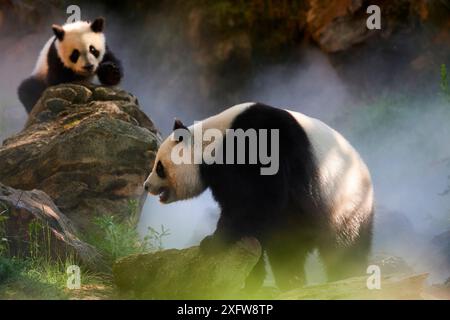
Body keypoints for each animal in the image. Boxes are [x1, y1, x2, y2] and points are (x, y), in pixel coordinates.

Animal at [144, 102, 372, 290]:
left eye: (159, 167)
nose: (147, 185)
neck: (214, 141)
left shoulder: (259, 142)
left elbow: (259, 200)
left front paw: (212, 242)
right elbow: (251, 217)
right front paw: (250, 278)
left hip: (344, 205)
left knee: (344, 248)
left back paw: (344, 275)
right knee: (287, 250)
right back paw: (291, 281)